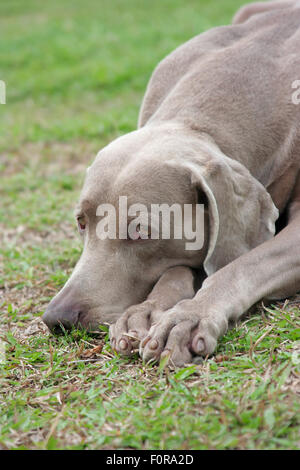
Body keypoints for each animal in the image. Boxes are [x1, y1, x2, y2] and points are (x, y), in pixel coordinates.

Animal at [42, 0, 300, 368]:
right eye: (81, 222)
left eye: (140, 231)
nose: (57, 318)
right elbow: (178, 266)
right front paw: (146, 311)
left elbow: (240, 265)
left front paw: (188, 317)